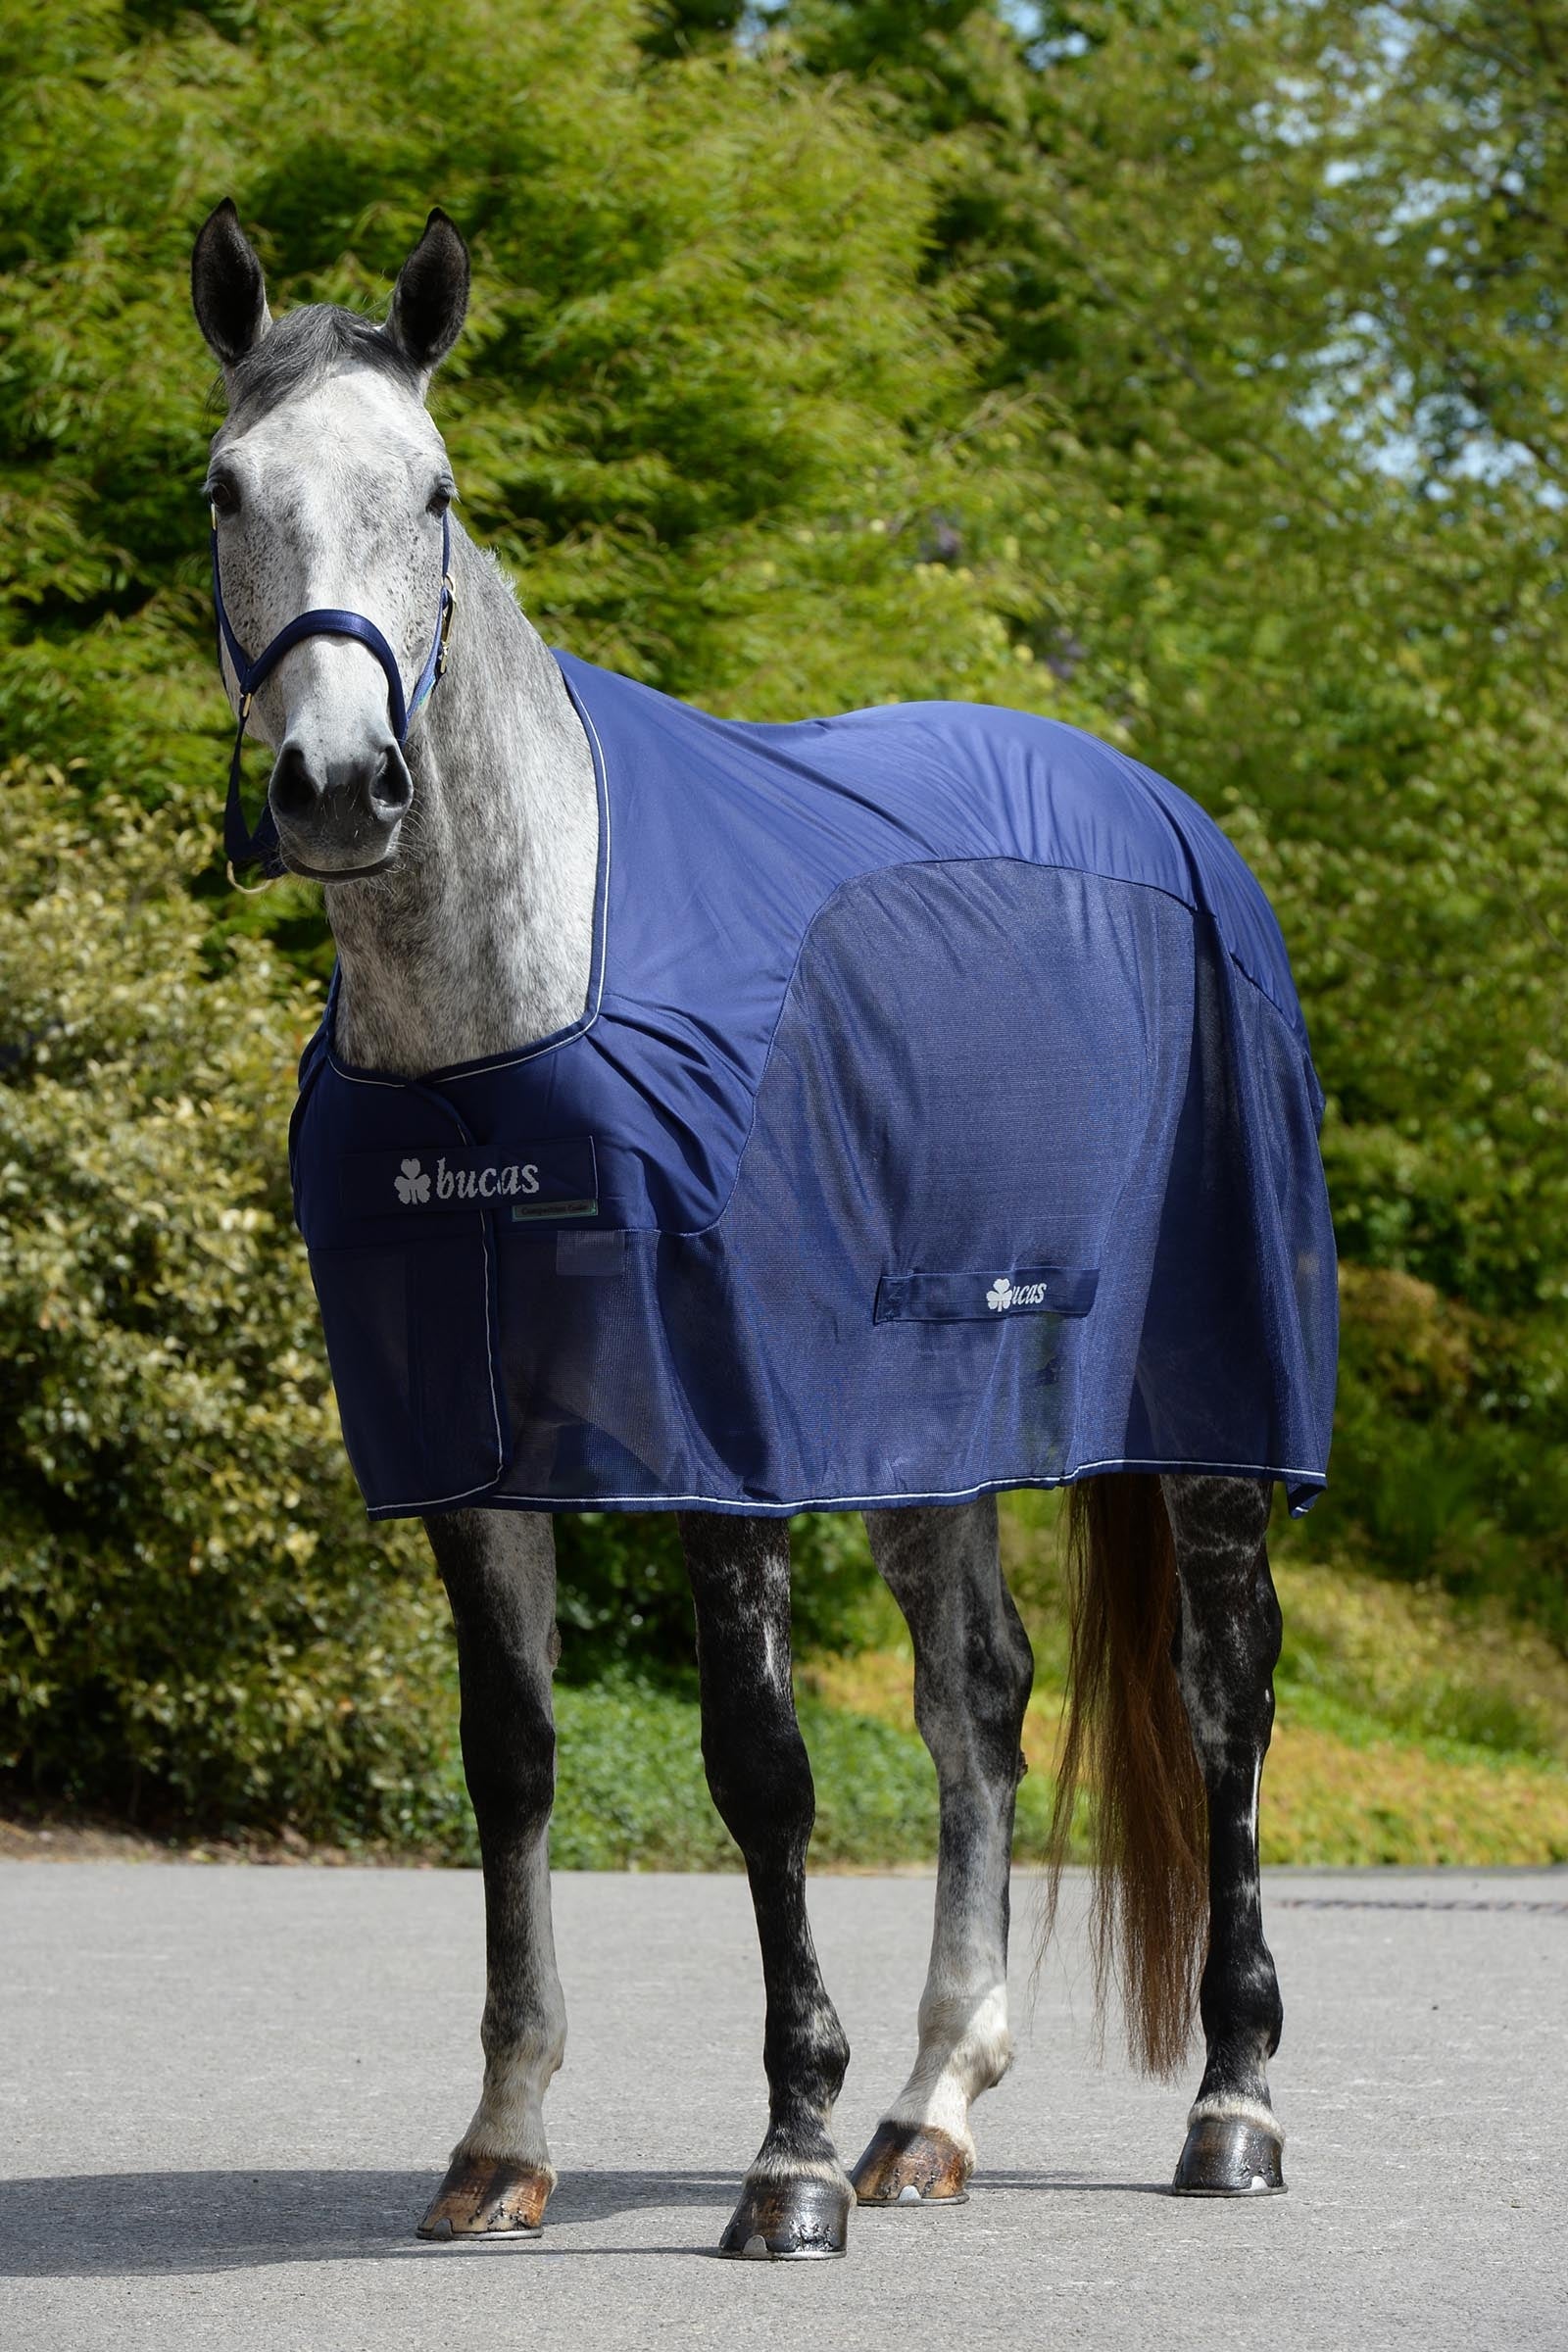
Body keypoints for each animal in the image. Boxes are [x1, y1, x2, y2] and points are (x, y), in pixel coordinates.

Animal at [190, 200, 1332, 2259]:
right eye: (230, 489)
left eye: (435, 490)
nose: (336, 788)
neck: (508, 1024)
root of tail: (1165, 811)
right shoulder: (478, 1459)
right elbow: (511, 1765)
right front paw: (502, 2142)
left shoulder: (715, 1445)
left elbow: (762, 1769)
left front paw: (787, 2157)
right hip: (921, 1428)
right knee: (981, 1702)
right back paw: (933, 2105)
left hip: (1208, 1428)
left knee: (1225, 1706)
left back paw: (1231, 2108)